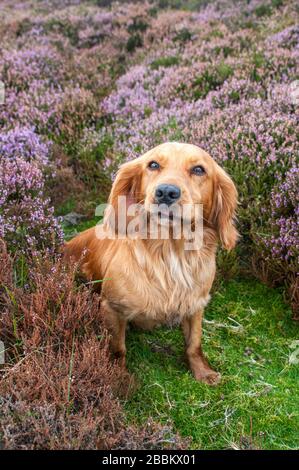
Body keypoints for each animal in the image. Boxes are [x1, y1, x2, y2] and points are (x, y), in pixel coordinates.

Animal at [65, 141, 239, 384]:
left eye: (198, 169)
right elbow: (118, 348)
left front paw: (203, 372)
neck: (170, 253)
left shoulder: (196, 304)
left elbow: (194, 343)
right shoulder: (112, 308)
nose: (166, 192)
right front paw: (118, 377)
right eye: (153, 164)